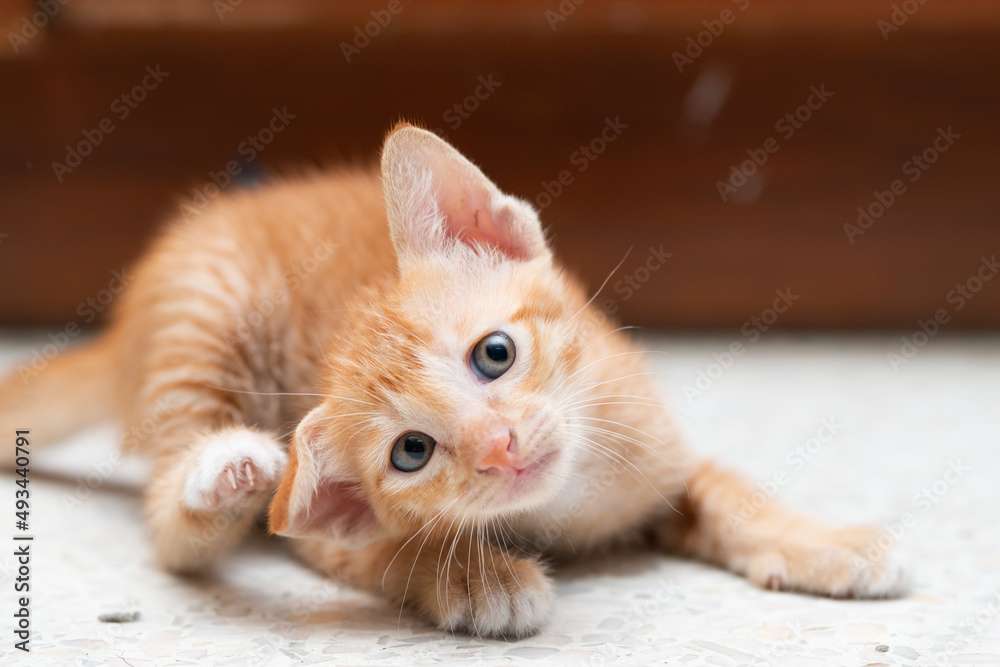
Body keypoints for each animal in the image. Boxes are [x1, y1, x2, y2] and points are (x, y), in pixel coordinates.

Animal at [0, 124, 908, 636]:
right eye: (412, 450)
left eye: (494, 354)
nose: (500, 446)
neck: (568, 503)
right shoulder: (336, 538)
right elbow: (397, 550)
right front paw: (477, 577)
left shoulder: (657, 448)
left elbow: (728, 492)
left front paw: (820, 540)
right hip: (203, 321)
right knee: (171, 530)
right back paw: (225, 469)